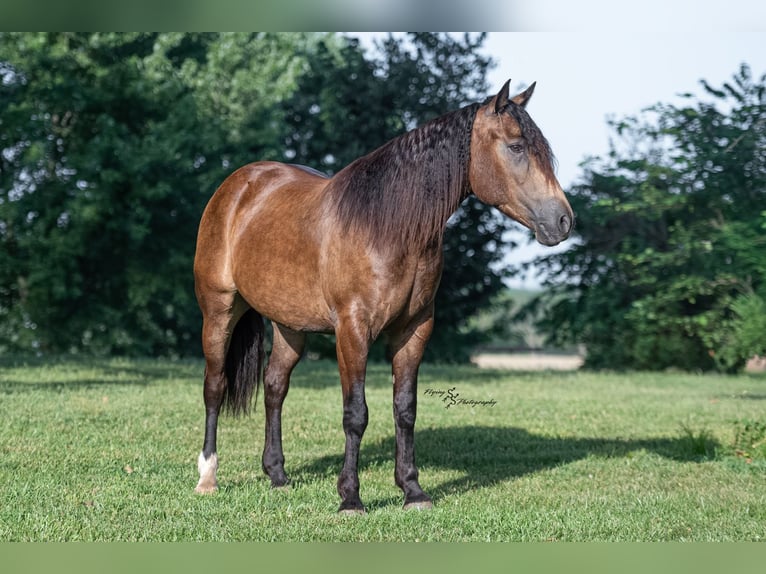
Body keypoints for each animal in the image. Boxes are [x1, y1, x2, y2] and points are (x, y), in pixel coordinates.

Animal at [192, 79, 574, 513]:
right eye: (516, 147)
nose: (563, 220)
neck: (388, 227)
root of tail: (237, 186)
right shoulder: (353, 332)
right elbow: (355, 413)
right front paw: (350, 498)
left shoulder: (414, 330)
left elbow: (405, 409)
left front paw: (413, 490)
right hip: (219, 310)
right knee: (215, 385)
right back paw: (207, 477)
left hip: (290, 326)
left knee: (274, 387)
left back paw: (277, 476)